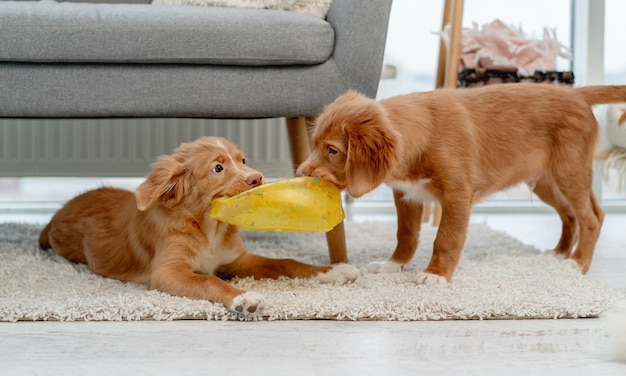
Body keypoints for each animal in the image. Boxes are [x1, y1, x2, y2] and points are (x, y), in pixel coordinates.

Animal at [40, 137, 356, 316]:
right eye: (218, 168)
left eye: (243, 159)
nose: (257, 178)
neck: (209, 228)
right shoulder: (167, 272)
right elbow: (209, 281)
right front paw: (243, 297)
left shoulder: (236, 260)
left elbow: (286, 262)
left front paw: (334, 271)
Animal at [294, 82, 624, 282]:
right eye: (315, 144)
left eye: (332, 150)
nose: (299, 172)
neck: (423, 138)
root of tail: (577, 93)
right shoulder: (406, 195)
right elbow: (406, 234)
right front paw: (394, 264)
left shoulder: (457, 195)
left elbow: (446, 238)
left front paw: (436, 274)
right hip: (543, 180)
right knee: (571, 214)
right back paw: (560, 252)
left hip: (569, 173)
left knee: (591, 217)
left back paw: (577, 263)